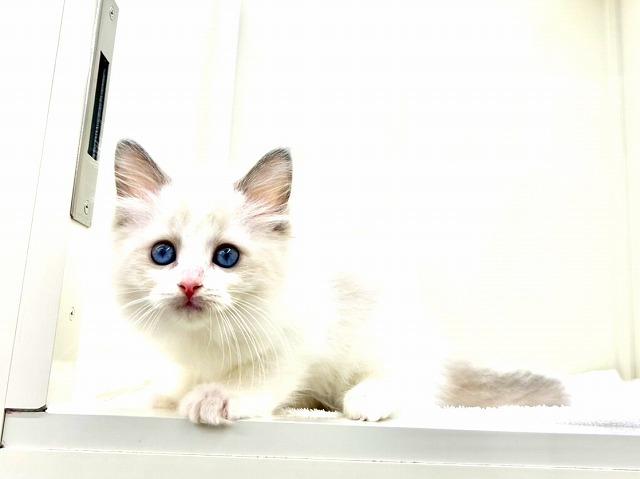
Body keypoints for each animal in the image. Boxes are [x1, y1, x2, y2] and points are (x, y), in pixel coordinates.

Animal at [113, 139, 568, 425]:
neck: (207, 341)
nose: (190, 285)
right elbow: (184, 377)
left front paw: (218, 397)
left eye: (226, 256)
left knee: (411, 384)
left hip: (383, 340)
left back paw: (367, 399)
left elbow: (260, 376)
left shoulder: (299, 336)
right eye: (163, 254)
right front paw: (168, 392)